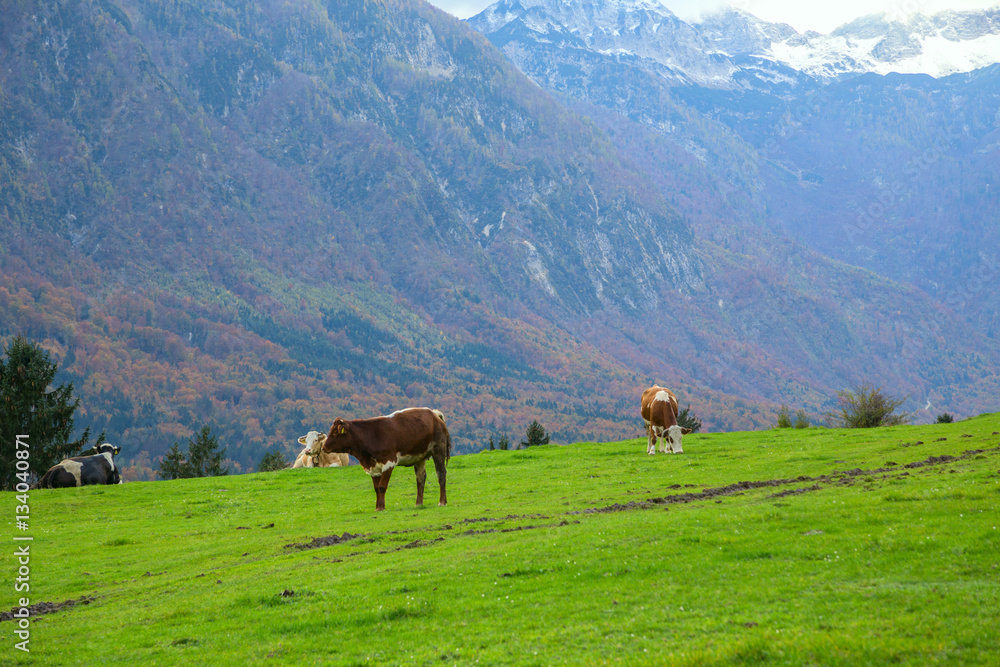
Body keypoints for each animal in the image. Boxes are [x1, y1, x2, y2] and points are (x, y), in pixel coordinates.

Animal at [322, 408, 452, 512]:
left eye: (335, 432)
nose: (324, 447)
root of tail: (434, 414)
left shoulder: (388, 462)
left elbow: (382, 486)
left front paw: (381, 507)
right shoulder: (373, 467)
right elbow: (376, 488)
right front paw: (378, 507)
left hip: (438, 449)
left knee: (441, 474)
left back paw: (442, 502)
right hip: (420, 456)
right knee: (420, 478)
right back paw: (418, 504)